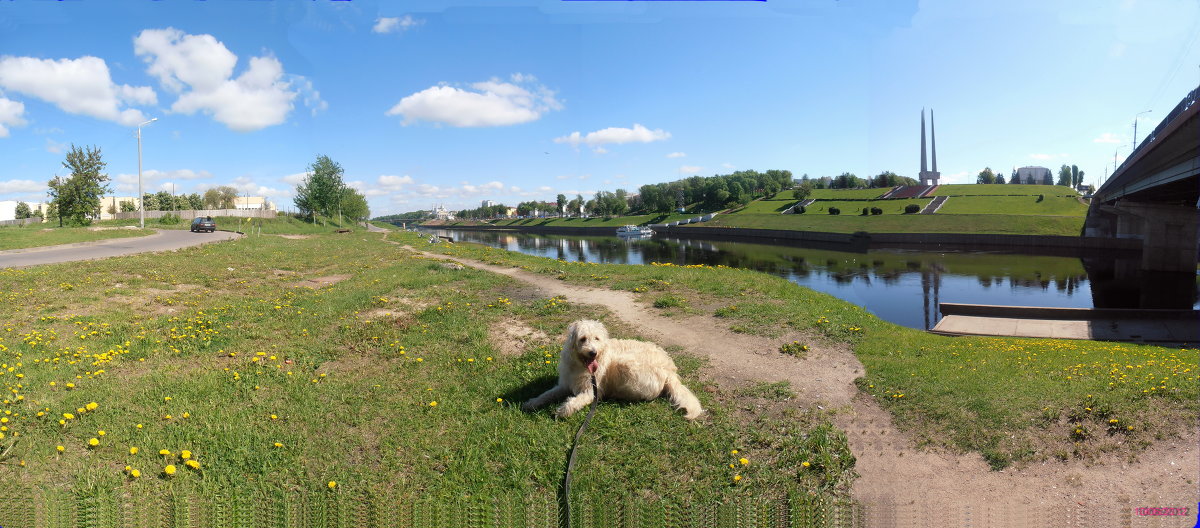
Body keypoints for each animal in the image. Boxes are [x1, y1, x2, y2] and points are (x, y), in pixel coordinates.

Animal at [523, 316, 700, 420]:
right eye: (583, 339)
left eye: (596, 338)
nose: (593, 352)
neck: (581, 366)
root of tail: (670, 371)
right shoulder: (564, 385)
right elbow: (547, 394)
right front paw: (532, 403)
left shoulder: (591, 392)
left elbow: (575, 401)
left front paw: (563, 410)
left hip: (626, 364)